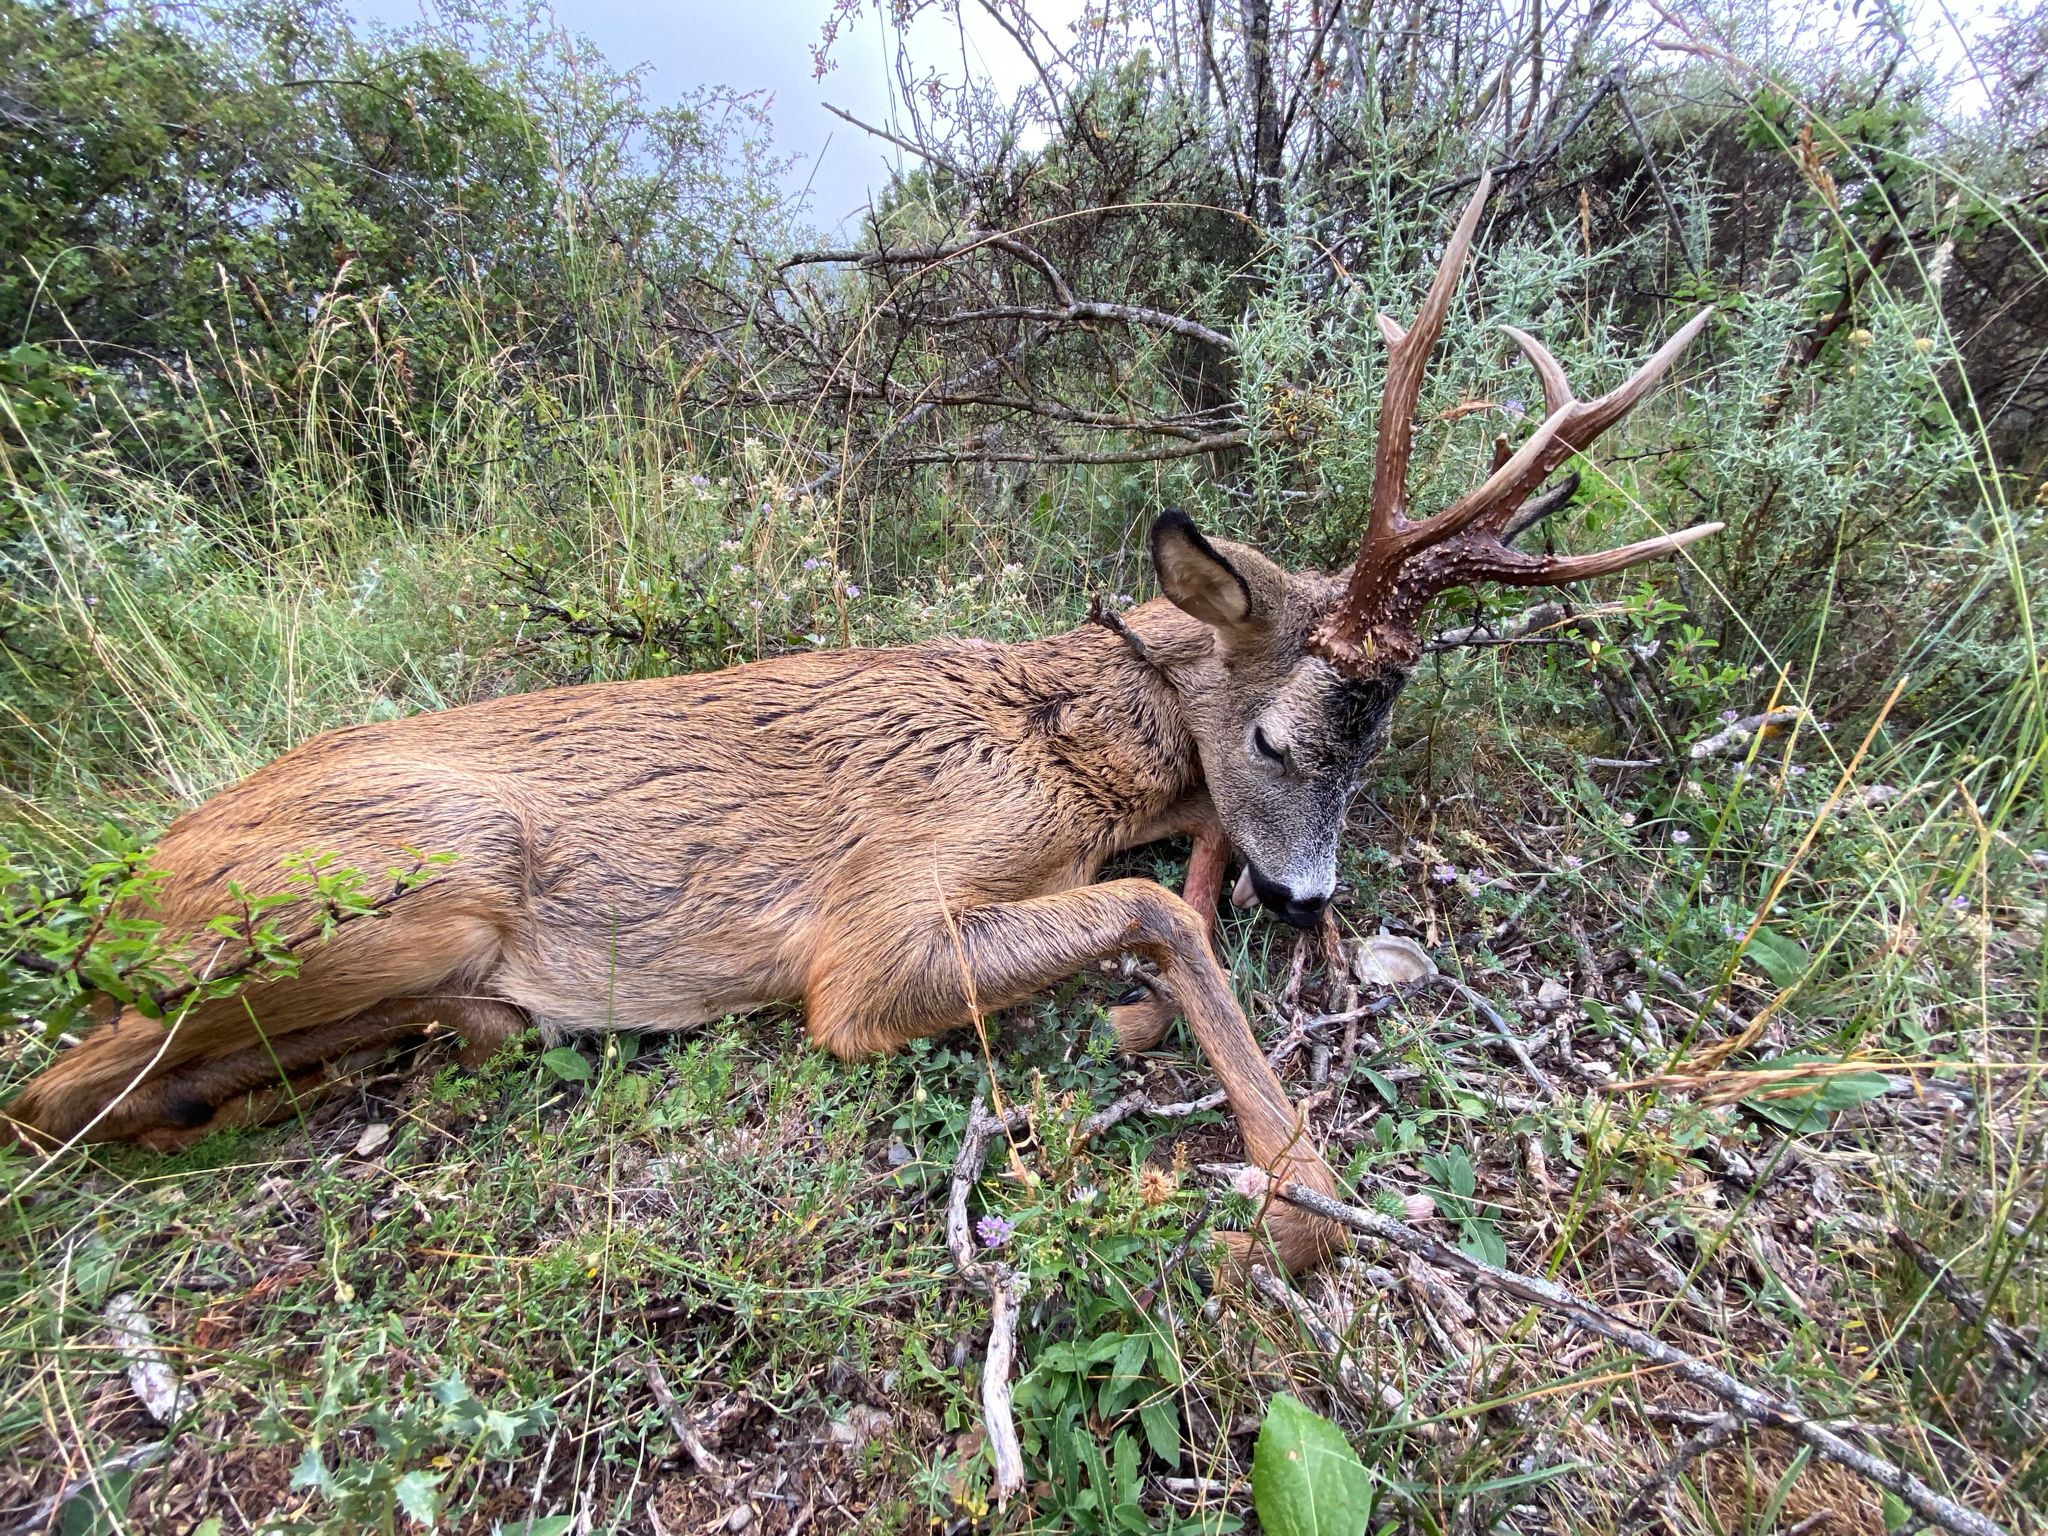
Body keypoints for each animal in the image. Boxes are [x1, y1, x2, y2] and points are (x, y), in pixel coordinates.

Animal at [4, 175, 1716, 1274]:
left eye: (1379, 749)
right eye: (1287, 740)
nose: (1312, 900)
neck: (1063, 745)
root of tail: (108, 907)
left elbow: (1177, 895)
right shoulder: (872, 931)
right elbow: (1162, 910)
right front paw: (1298, 1195)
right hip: (407, 885)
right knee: (55, 1095)